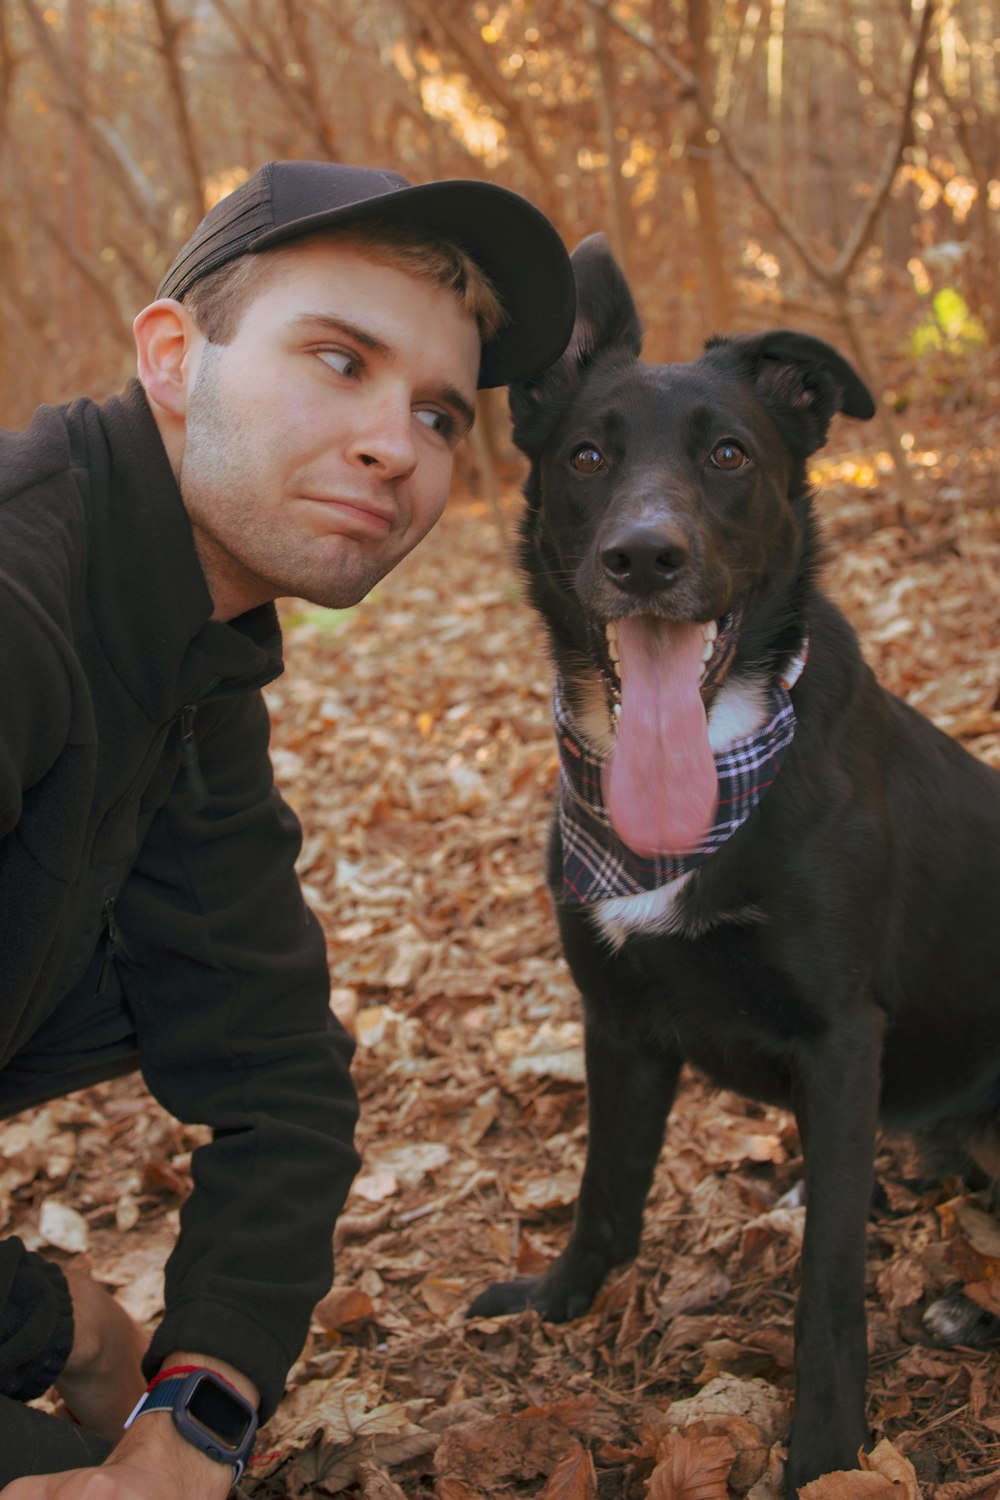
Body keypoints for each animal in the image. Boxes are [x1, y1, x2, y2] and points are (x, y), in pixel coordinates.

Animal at [473, 234, 1000, 1488]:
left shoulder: (841, 1038)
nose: (644, 558)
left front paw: (825, 1453)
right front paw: (555, 1304)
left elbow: (827, 1288)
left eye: (727, 455)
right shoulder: (617, 1019)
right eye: (585, 453)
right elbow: (603, 1196)